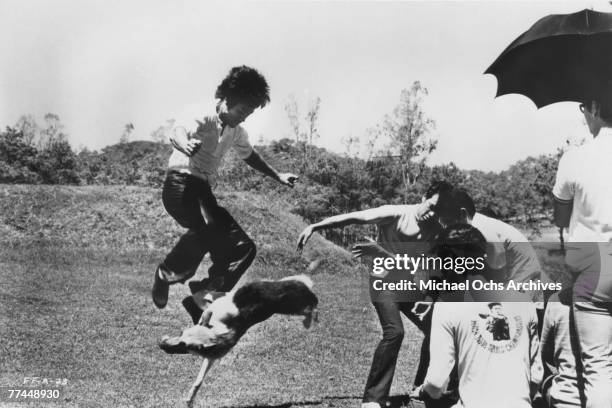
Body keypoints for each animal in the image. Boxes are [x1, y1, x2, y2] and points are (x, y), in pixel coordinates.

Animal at [158, 276, 320, 406]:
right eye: (181, 334)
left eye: (183, 346)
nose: (160, 344)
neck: (219, 331)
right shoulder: (211, 356)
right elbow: (199, 381)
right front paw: (190, 397)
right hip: (291, 306)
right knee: (309, 305)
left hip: (290, 297)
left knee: (310, 302)